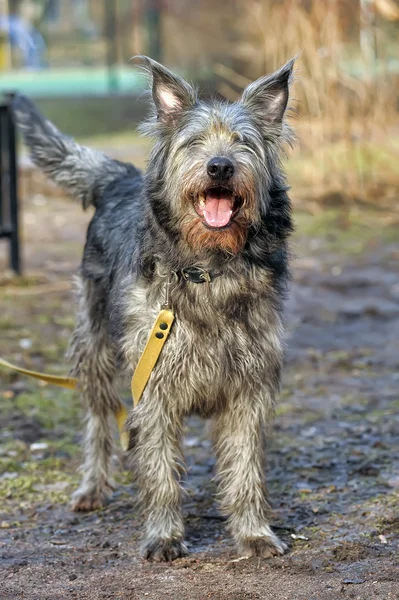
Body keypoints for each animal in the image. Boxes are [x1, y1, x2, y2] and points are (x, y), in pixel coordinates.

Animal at [12, 56, 296, 564]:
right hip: (94, 348)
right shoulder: (155, 386)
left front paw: (254, 534)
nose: (220, 166)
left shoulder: (249, 387)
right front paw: (164, 536)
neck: (210, 268)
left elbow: (246, 469)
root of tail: (120, 178)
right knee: (98, 421)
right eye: (195, 142)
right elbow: (160, 471)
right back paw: (92, 487)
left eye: (242, 142)